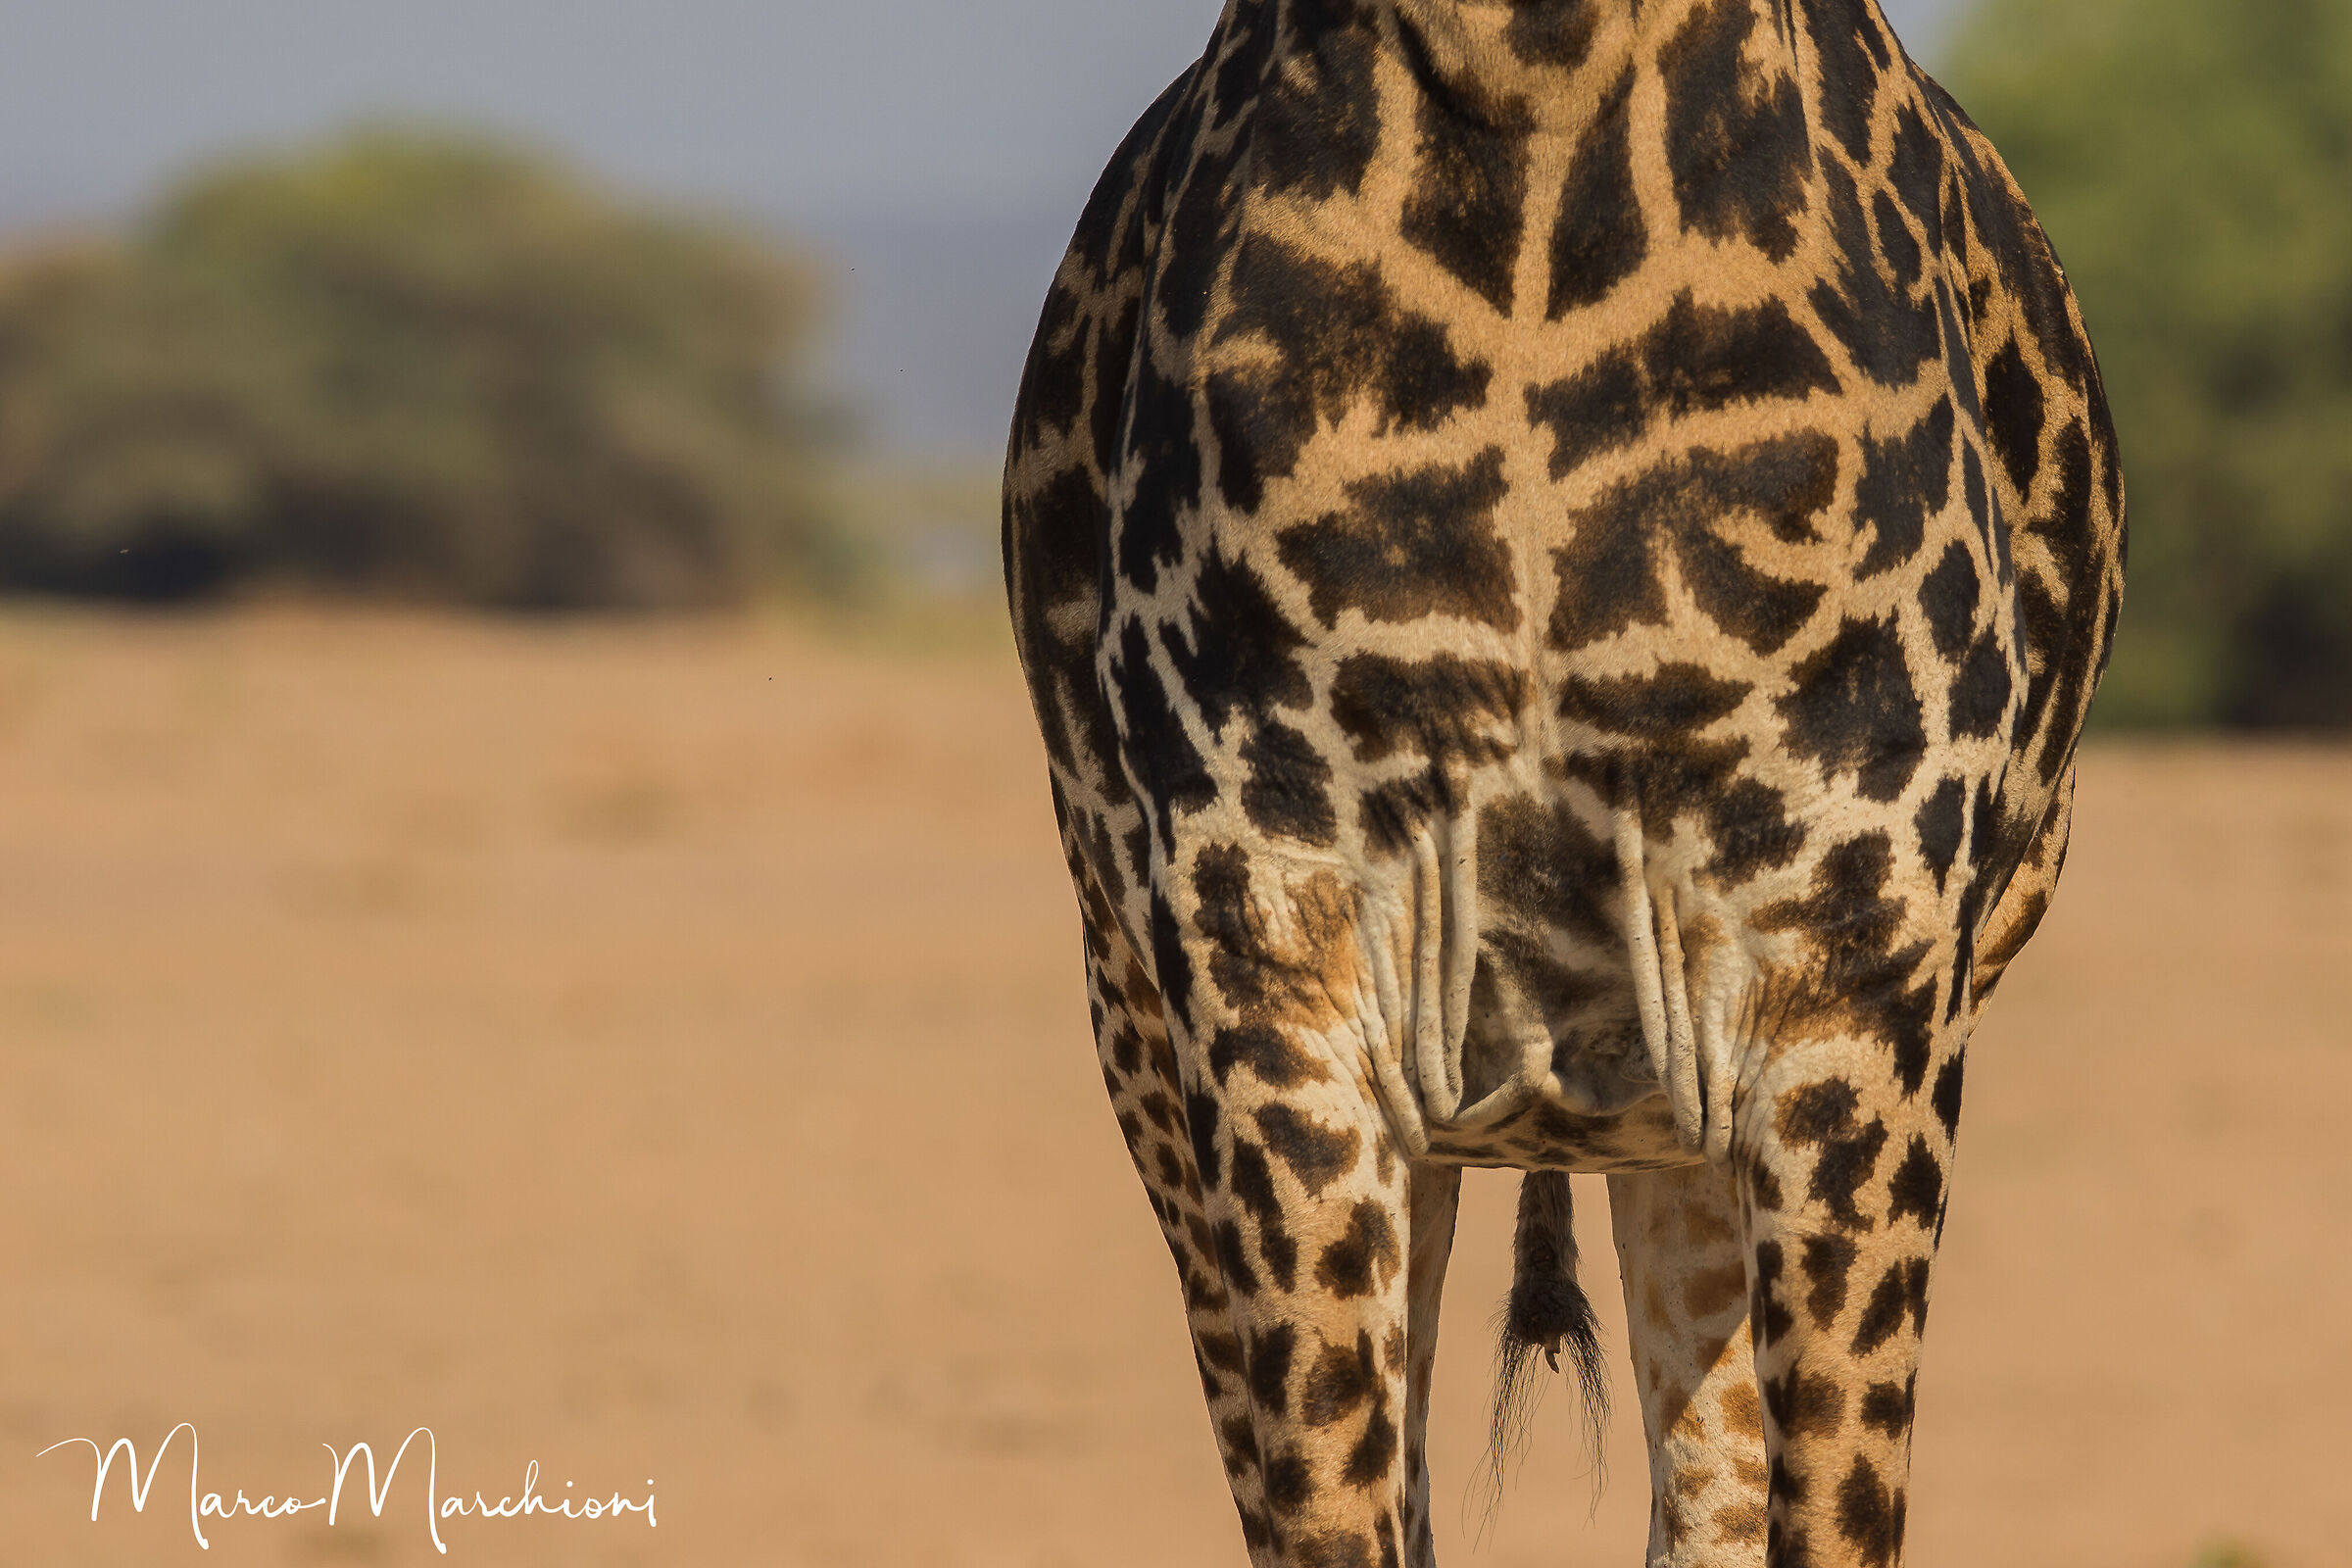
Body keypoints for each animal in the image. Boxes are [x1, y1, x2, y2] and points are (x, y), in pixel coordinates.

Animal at [1001, 2, 2124, 1564]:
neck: (1531, 91)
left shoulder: (1850, 973)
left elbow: (1832, 1511)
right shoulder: (1275, 951)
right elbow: (1339, 1507)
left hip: (1684, 1125)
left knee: (1709, 1486)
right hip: (1162, 1051)